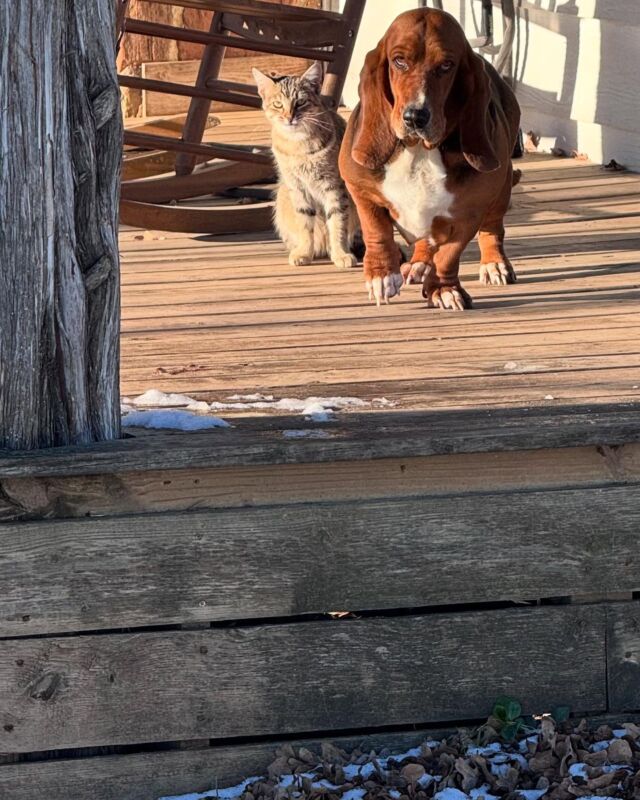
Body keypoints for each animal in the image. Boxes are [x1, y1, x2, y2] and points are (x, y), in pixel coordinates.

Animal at [251, 62, 360, 268]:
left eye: (300, 102)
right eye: (278, 104)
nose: (289, 117)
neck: (298, 145)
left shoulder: (334, 185)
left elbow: (338, 222)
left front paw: (341, 253)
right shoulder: (297, 187)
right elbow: (305, 224)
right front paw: (304, 252)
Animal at [340, 9, 520, 310]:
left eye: (446, 65)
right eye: (399, 60)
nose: (415, 117)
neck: (420, 152)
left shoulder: (469, 213)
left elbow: (449, 254)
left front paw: (445, 290)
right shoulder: (359, 187)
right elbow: (376, 230)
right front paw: (381, 276)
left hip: (502, 186)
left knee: (492, 229)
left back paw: (494, 264)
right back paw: (418, 264)